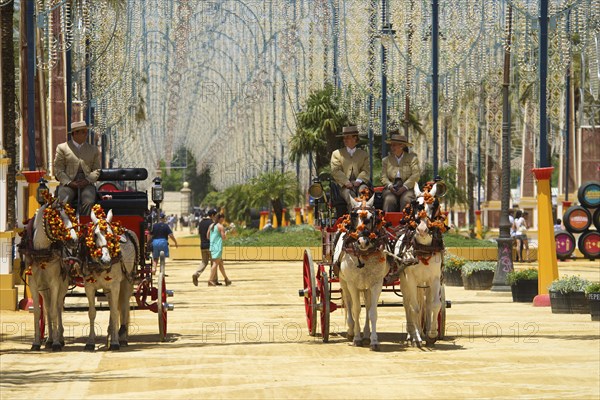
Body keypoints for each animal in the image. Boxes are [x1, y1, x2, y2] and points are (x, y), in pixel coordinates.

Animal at [18, 199, 78, 350]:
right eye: (57, 218)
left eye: (70, 215)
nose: (74, 240)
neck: (42, 251)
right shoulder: (34, 285)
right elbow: (39, 312)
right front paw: (36, 342)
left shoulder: (55, 283)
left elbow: (54, 310)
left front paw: (57, 343)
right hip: (44, 289)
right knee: (47, 308)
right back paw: (49, 339)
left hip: (63, 285)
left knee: (57, 306)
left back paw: (59, 338)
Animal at [81, 208, 138, 352]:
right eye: (95, 235)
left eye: (111, 236)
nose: (106, 260)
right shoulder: (89, 287)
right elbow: (92, 313)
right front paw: (90, 342)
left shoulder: (115, 286)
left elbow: (114, 311)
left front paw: (115, 342)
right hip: (108, 289)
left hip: (127, 281)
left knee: (123, 305)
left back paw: (121, 337)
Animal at [332, 195, 390, 350]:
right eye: (353, 216)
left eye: (372, 217)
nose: (363, 241)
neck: (364, 254)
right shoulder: (352, 284)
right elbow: (356, 309)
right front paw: (357, 338)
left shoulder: (376, 284)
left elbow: (372, 312)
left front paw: (374, 340)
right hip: (344, 283)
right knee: (348, 303)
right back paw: (351, 331)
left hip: (366, 286)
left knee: (368, 306)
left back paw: (366, 334)